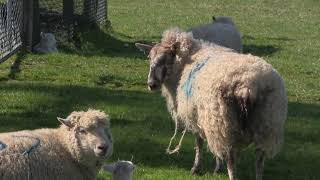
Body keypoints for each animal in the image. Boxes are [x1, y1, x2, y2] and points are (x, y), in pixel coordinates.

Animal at [135, 27, 288, 180]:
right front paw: (216, 168)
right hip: (267, 122)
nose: (151, 84)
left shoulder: (197, 115)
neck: (186, 60)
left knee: (231, 158)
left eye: (166, 58)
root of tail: (247, 86)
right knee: (259, 158)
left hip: (223, 121)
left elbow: (199, 142)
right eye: (149, 58)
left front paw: (197, 168)